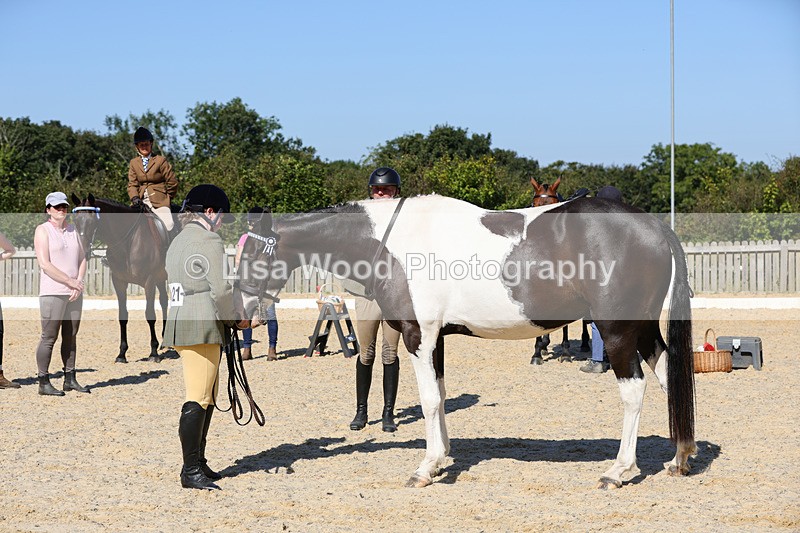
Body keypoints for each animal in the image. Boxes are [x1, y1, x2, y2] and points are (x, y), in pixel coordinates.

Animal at [70, 194, 170, 363]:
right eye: (76, 221)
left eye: (92, 221)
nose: (82, 253)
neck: (128, 243)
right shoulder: (119, 282)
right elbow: (122, 316)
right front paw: (122, 353)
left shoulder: (149, 281)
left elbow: (150, 314)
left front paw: (153, 352)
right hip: (160, 279)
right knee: (164, 301)